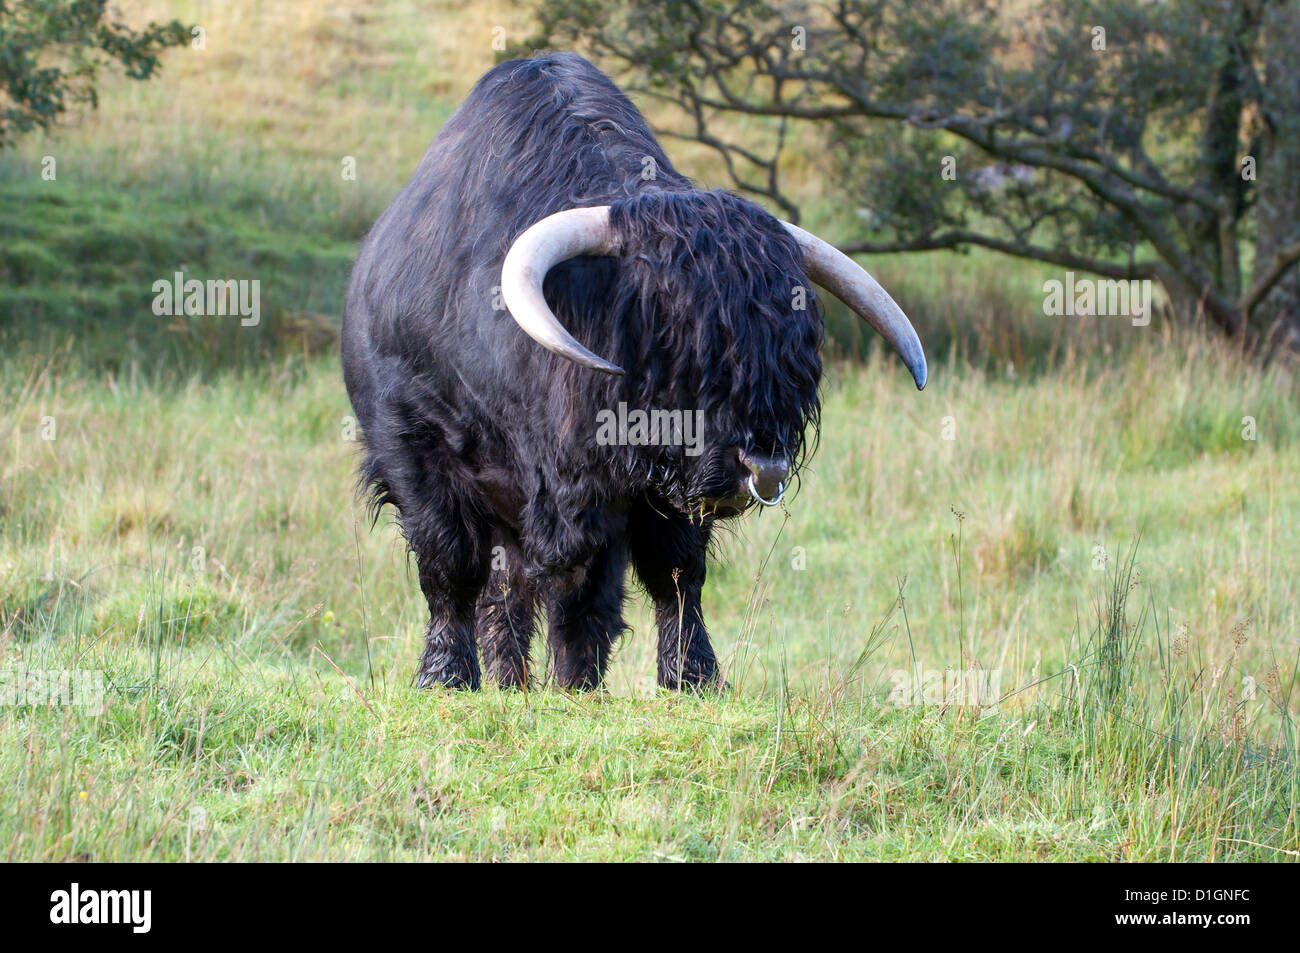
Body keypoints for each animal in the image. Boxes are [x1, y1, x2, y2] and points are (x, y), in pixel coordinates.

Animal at [341, 53, 926, 692]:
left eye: (797, 347)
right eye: (673, 333)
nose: (763, 467)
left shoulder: (643, 494)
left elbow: (660, 579)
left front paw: (675, 677)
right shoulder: (413, 445)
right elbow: (451, 567)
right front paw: (446, 675)